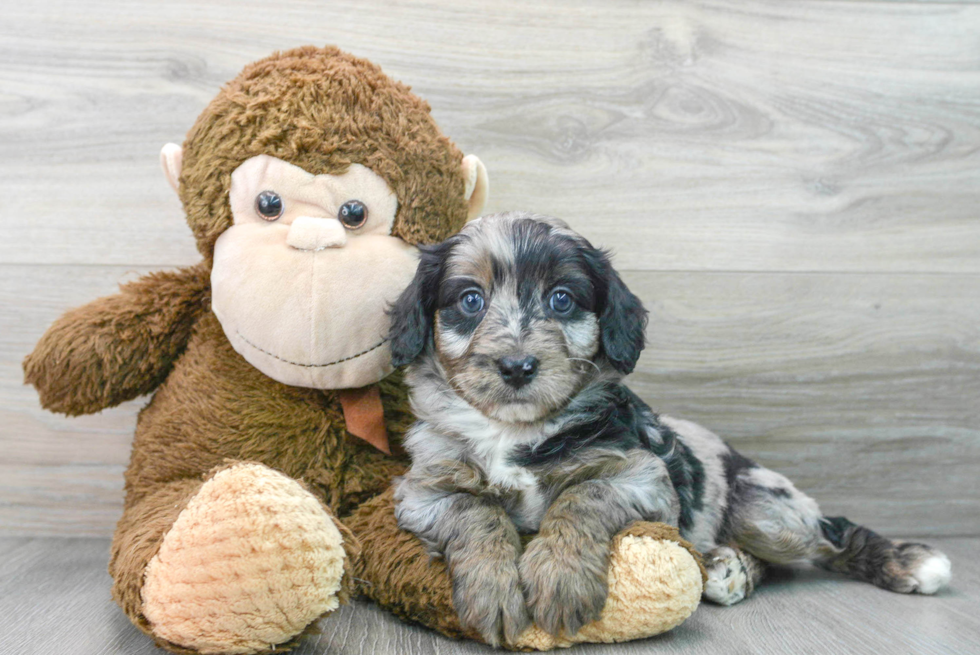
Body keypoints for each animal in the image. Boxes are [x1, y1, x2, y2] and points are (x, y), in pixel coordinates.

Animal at [388, 211, 948, 644]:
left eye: (562, 299)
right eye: (471, 300)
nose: (518, 367)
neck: (513, 431)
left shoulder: (641, 475)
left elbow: (581, 496)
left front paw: (561, 578)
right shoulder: (424, 491)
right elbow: (476, 510)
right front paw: (495, 589)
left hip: (768, 513)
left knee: (827, 537)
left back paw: (907, 562)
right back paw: (726, 568)